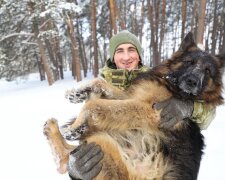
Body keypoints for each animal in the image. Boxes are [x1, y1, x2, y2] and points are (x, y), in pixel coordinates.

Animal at [43, 32, 224, 180]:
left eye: (207, 71)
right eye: (189, 62)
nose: (192, 82)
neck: (172, 86)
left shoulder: (150, 110)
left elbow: (96, 105)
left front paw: (76, 126)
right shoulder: (134, 96)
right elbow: (100, 83)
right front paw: (78, 92)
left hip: (103, 147)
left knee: (65, 158)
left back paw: (60, 129)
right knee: (68, 158)